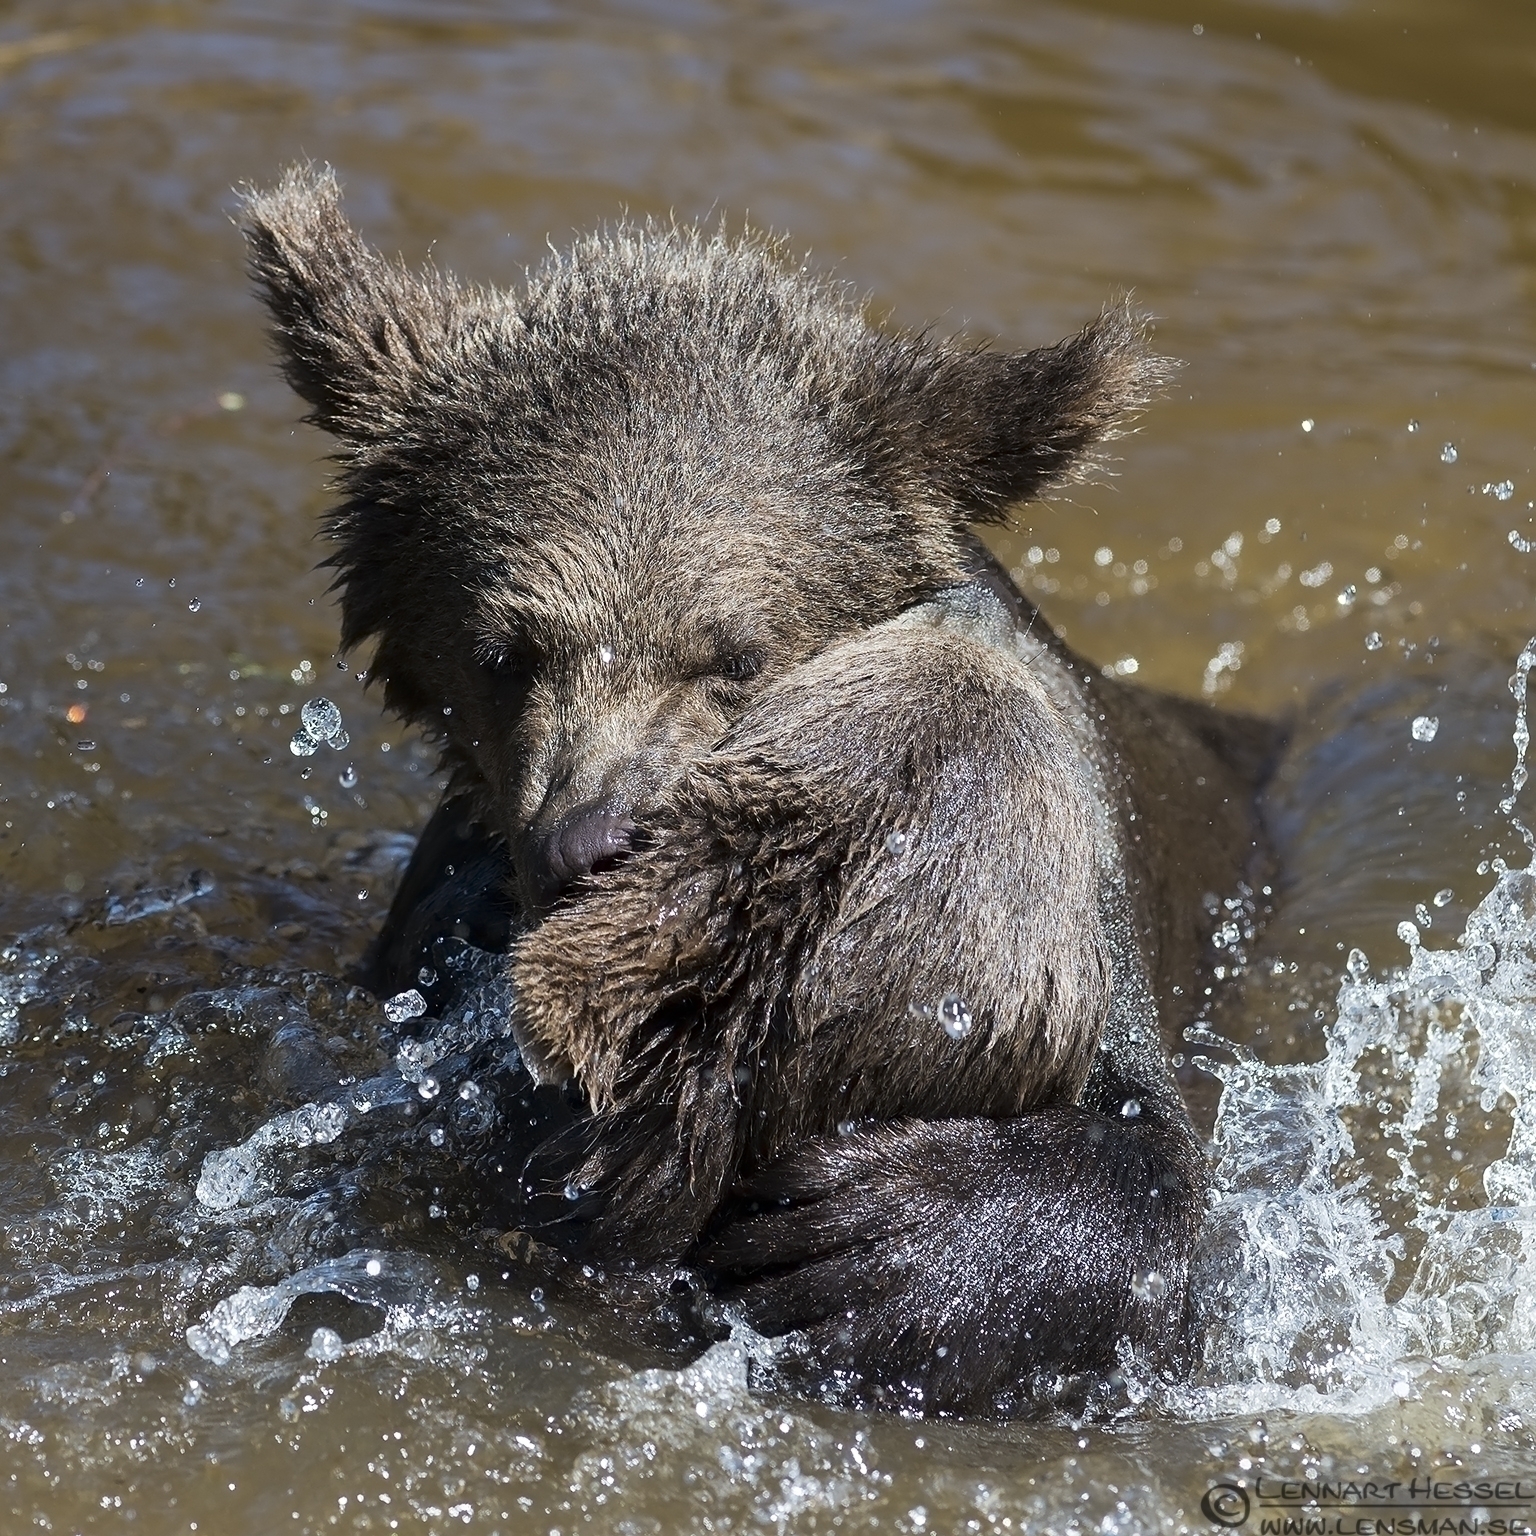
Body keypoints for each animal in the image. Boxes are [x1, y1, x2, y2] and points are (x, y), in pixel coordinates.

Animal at [241, 165, 1279, 1417]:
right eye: (504, 652)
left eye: (733, 655)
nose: (591, 839)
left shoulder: (1077, 911)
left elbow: (1138, 1159)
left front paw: (871, 1250)